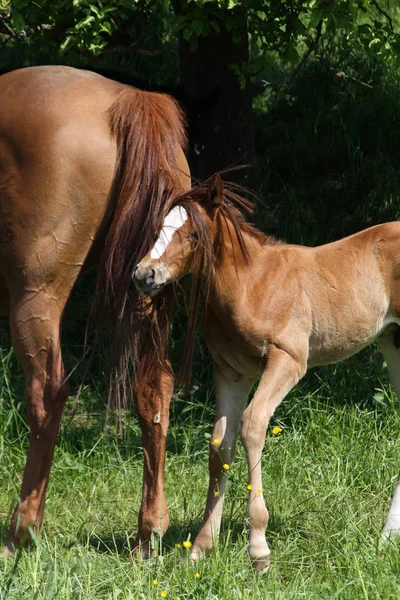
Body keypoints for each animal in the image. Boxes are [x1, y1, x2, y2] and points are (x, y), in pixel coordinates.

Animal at [0, 65, 191, 556]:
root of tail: (125, 100)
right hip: (148, 286)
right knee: (154, 390)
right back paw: (149, 533)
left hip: (35, 295)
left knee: (48, 394)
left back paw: (21, 531)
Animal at [134, 175, 400, 572]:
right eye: (158, 228)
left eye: (194, 234)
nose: (143, 274)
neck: (251, 283)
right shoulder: (231, 371)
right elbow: (221, 445)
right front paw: (201, 546)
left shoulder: (288, 360)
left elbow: (253, 426)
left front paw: (258, 549)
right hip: (391, 342)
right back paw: (388, 536)